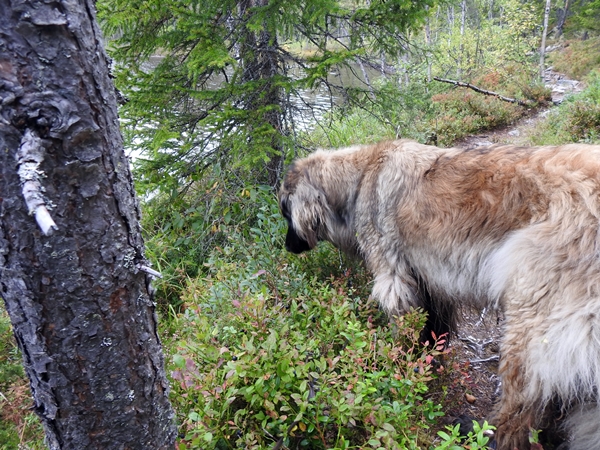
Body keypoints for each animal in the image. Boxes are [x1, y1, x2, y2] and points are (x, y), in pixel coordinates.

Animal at [278, 139, 600, 448]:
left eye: (285, 212)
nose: (287, 247)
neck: (359, 179)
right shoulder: (429, 281)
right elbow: (433, 327)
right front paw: (427, 362)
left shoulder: (394, 278)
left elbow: (402, 328)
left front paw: (395, 370)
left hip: (530, 315)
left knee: (520, 404)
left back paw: (486, 432)